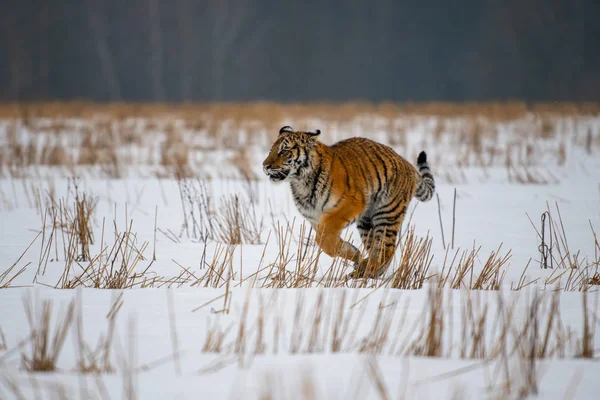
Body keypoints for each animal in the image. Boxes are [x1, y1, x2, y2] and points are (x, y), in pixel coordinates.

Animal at [260, 125, 434, 278]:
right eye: (271, 150)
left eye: (284, 151)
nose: (265, 166)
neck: (301, 183)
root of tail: (407, 163)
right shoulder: (314, 217)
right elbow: (325, 241)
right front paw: (354, 254)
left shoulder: (349, 203)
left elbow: (325, 238)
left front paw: (354, 254)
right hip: (366, 222)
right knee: (376, 246)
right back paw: (365, 268)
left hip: (387, 212)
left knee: (387, 247)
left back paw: (367, 269)